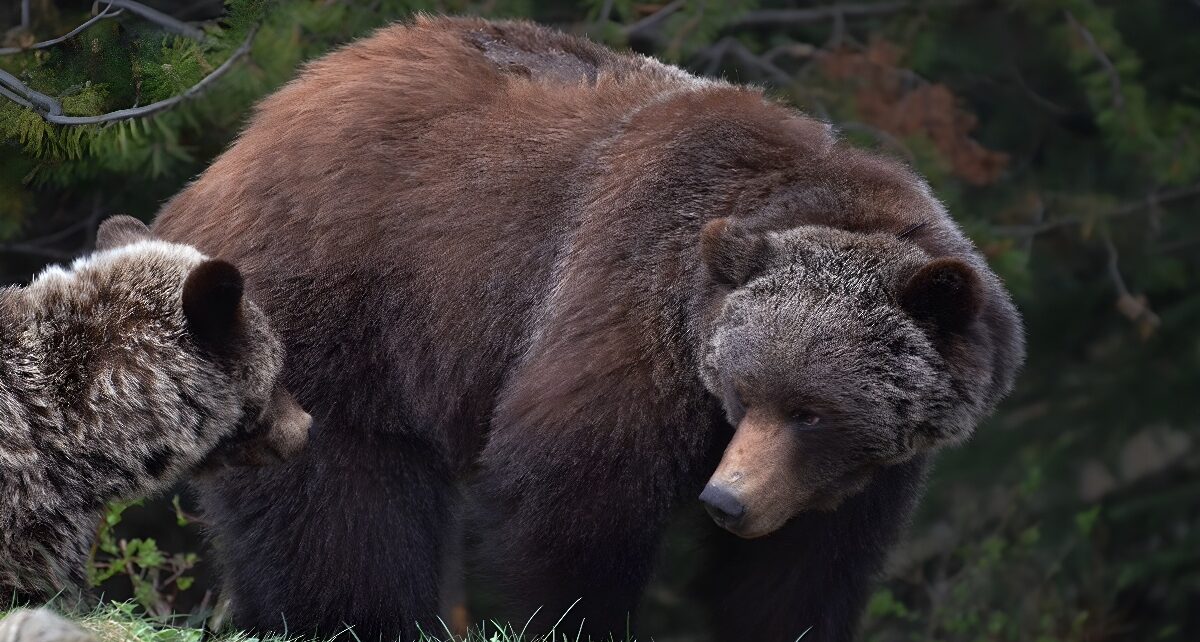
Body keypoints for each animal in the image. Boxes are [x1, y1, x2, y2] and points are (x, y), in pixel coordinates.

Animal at [151, 16, 1023, 642]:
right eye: (745, 393)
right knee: (340, 507)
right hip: (338, 303)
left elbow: (807, 565)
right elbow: (570, 492)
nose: (727, 501)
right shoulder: (624, 302)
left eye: (809, 410)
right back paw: (352, 619)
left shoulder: (856, 472)